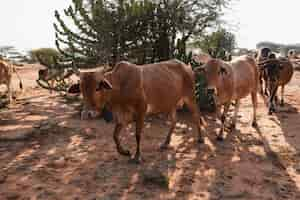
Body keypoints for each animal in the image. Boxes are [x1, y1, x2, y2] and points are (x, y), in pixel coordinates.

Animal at [67, 60, 205, 163]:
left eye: (97, 88)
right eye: (81, 89)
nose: (87, 114)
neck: (120, 87)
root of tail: (186, 66)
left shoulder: (141, 112)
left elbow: (138, 135)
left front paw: (137, 156)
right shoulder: (122, 116)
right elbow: (115, 136)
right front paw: (124, 152)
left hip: (190, 97)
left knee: (196, 115)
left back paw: (200, 139)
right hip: (170, 104)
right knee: (174, 121)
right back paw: (165, 143)